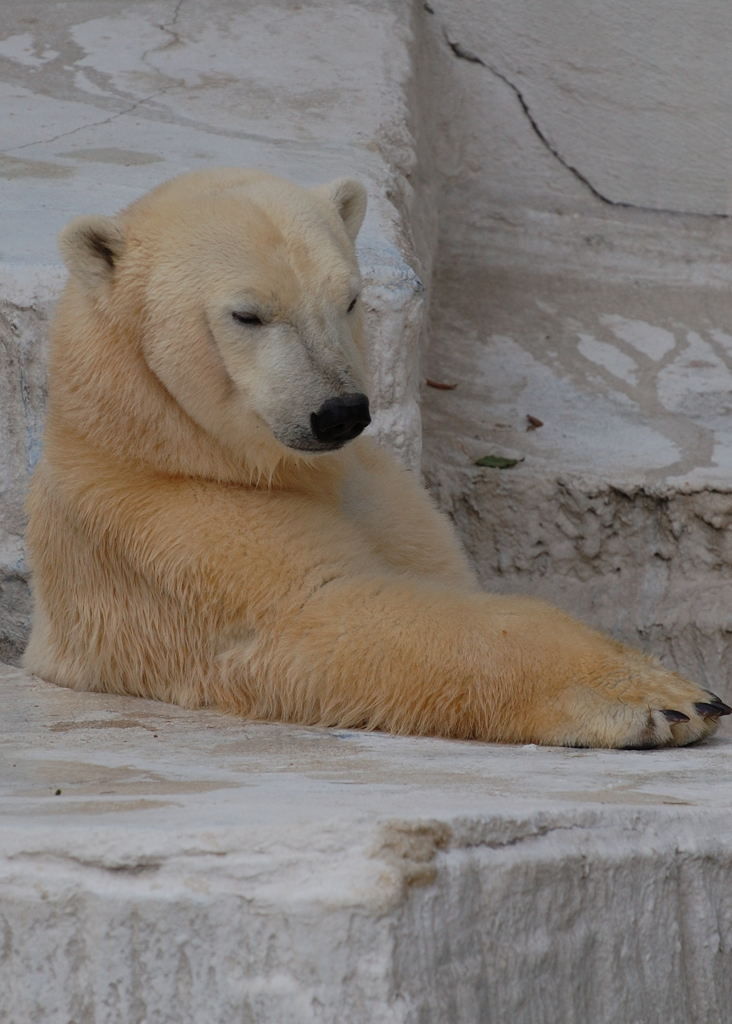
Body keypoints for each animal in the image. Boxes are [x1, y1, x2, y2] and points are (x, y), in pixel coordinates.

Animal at [21, 165, 728, 745]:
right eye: (248, 315)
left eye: (350, 299)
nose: (341, 411)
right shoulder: (175, 531)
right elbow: (328, 615)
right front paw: (666, 699)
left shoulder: (379, 490)